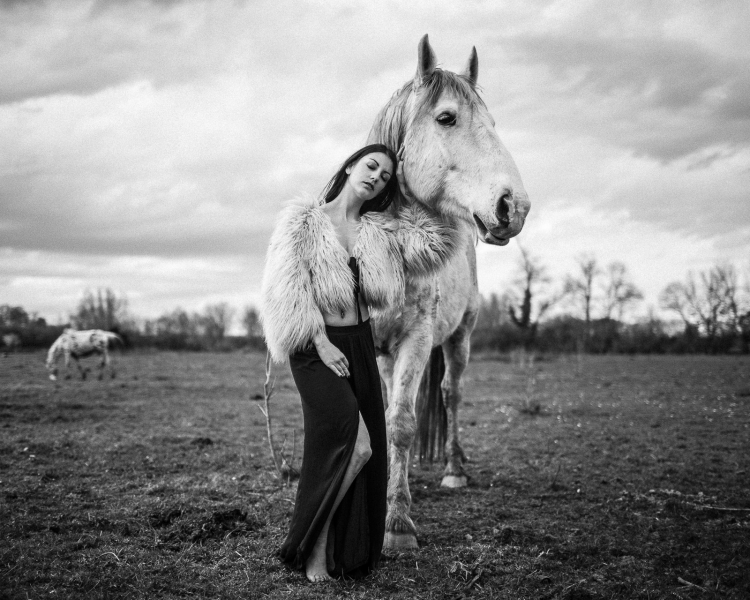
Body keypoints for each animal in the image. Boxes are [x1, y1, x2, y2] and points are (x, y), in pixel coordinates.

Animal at [368, 35, 532, 552]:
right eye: (446, 118)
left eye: (494, 124)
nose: (514, 206)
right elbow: (380, 417)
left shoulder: (418, 340)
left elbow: (402, 423)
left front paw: (397, 523)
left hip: (459, 338)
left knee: (451, 394)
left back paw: (454, 469)